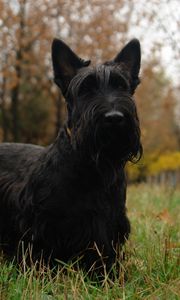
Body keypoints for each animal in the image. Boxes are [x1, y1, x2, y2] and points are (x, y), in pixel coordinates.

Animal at [0, 38, 142, 276]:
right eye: (85, 89)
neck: (93, 166)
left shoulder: (109, 223)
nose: (114, 118)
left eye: (122, 86)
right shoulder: (42, 223)